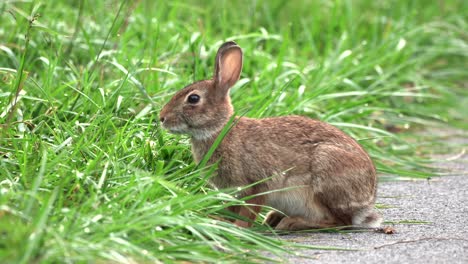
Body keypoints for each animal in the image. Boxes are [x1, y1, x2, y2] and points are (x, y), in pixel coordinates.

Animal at [159, 41, 382, 231]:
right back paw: (274, 218)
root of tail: (367, 199)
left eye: (193, 99)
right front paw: (222, 220)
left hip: (325, 172)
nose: (162, 118)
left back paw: (292, 223)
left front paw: (236, 227)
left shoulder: (256, 184)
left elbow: (248, 211)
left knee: (339, 222)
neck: (219, 130)